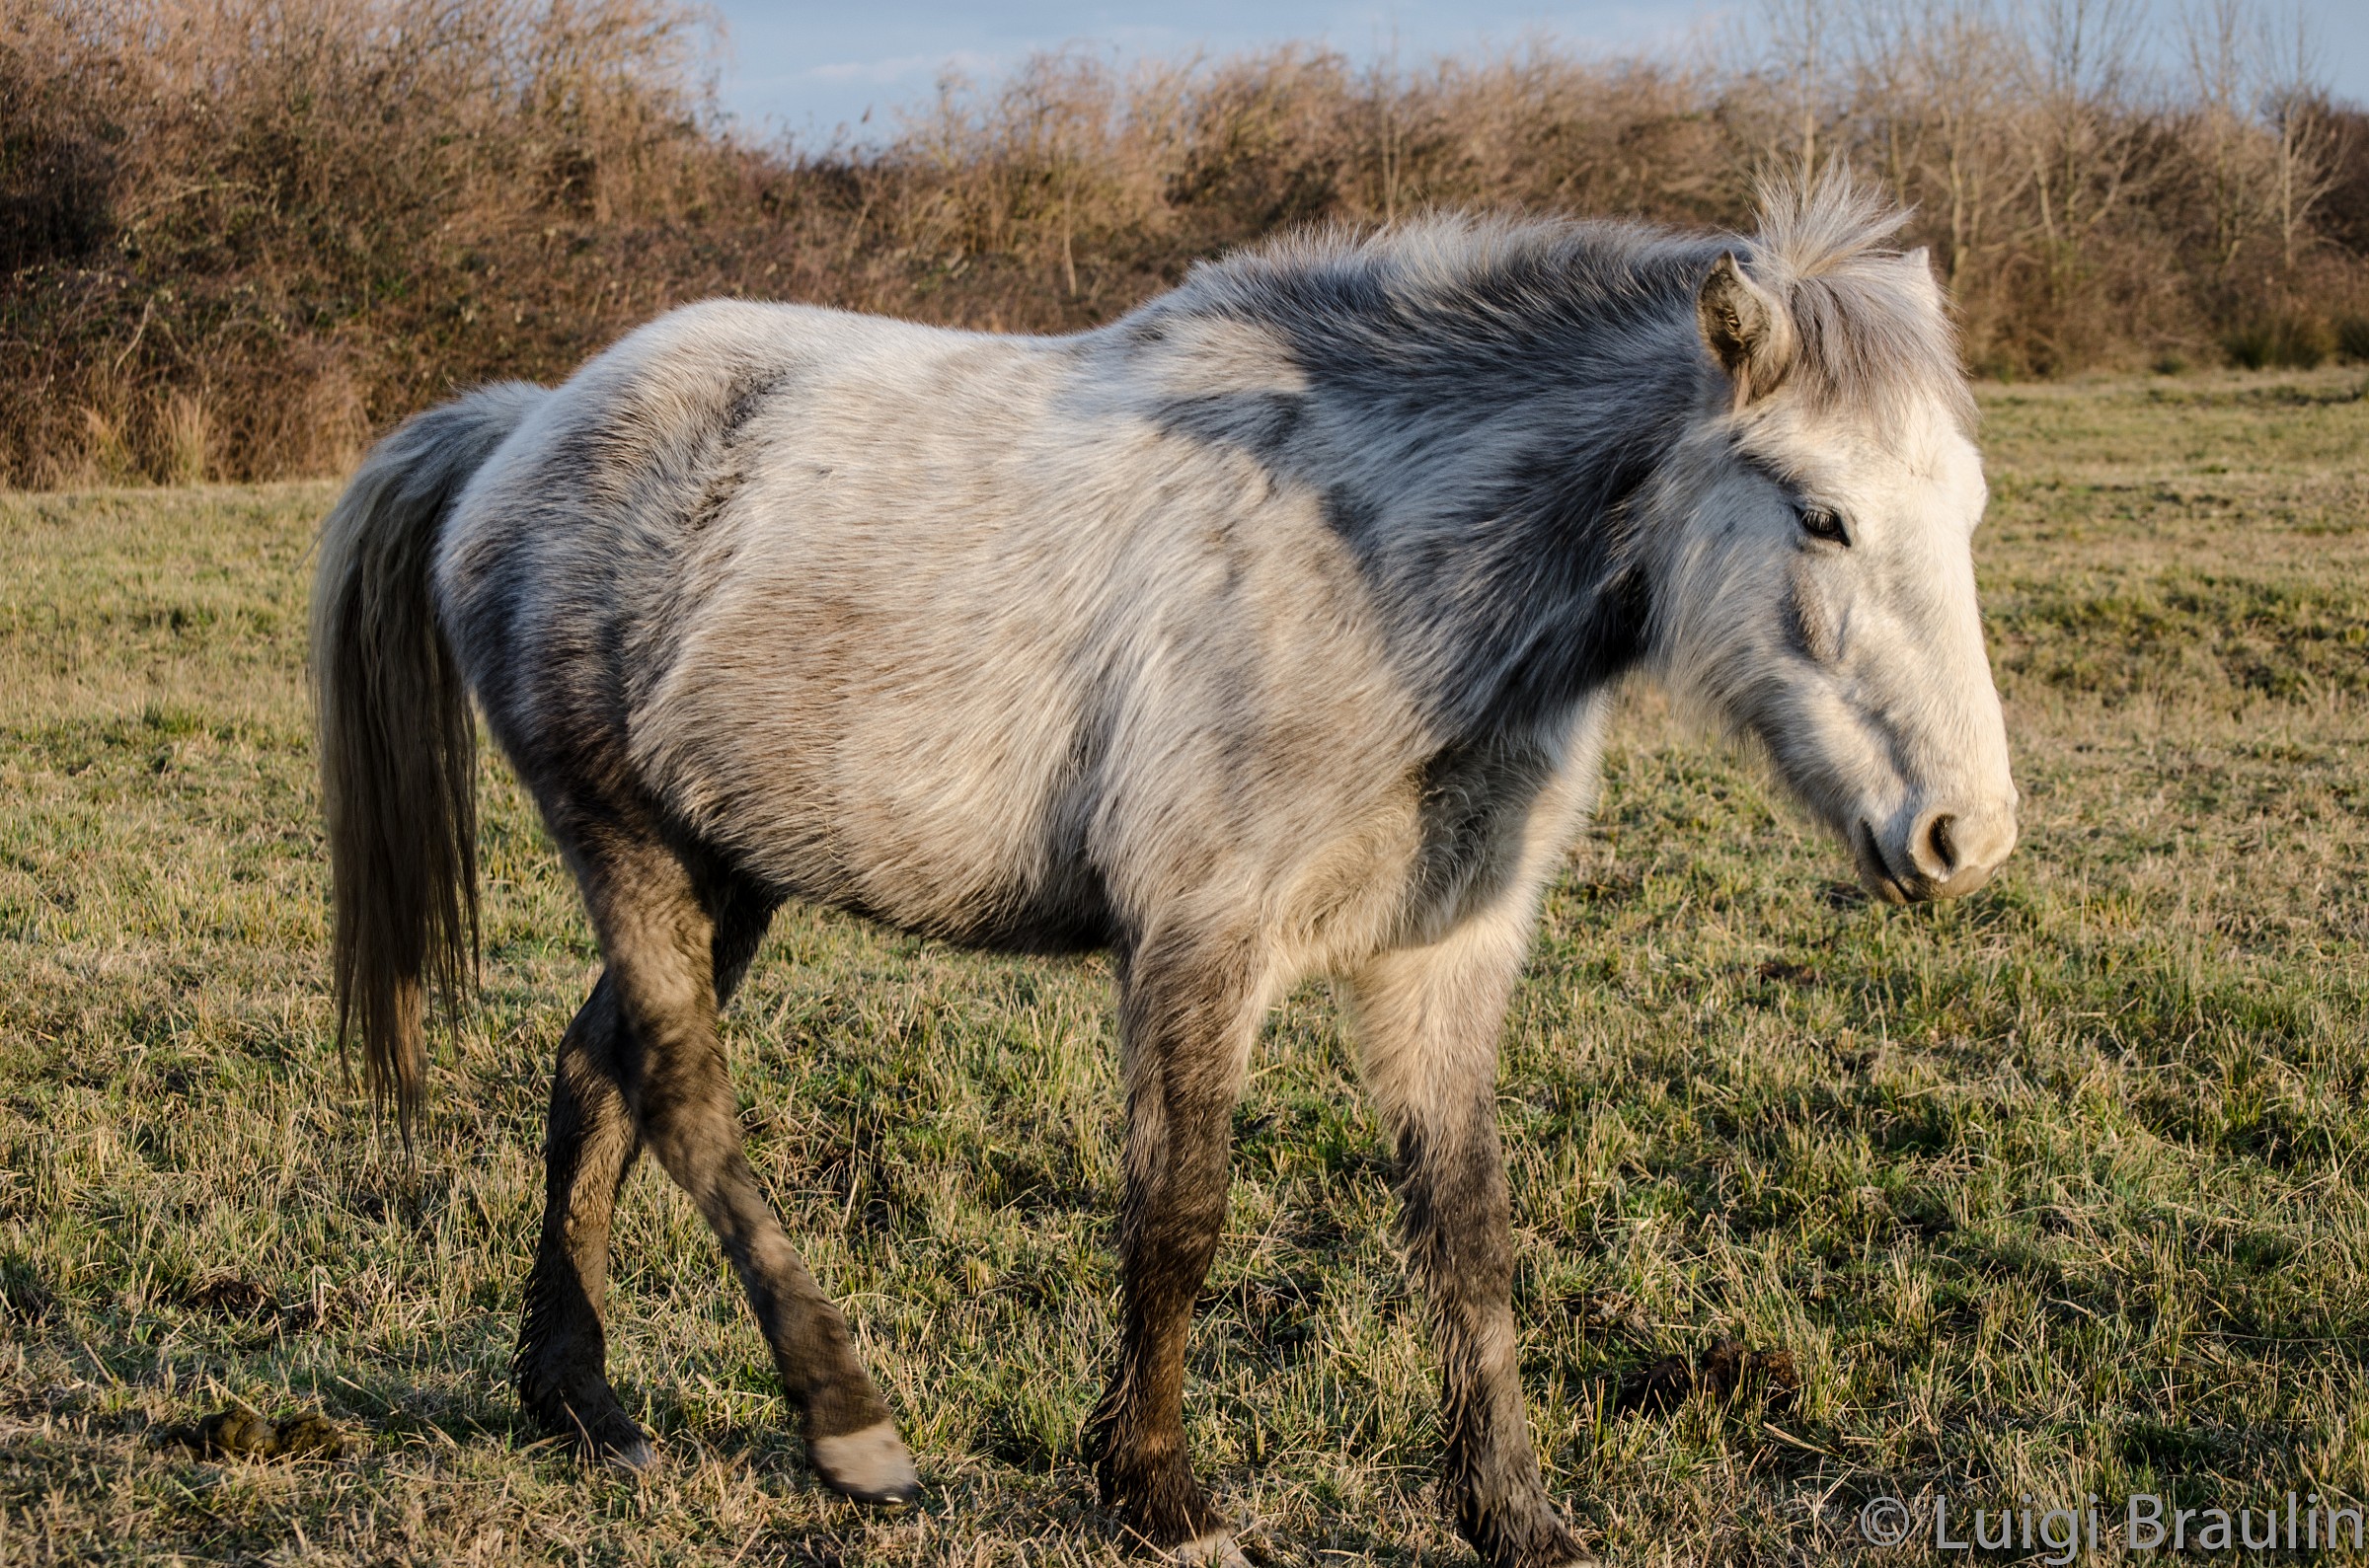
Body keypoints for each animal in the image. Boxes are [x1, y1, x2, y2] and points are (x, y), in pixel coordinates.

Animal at [310, 174, 2016, 1568]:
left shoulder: (1440, 960)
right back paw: (847, 1422)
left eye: (1972, 509)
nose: (1966, 835)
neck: (1370, 562)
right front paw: (1157, 1495)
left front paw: (1515, 1515)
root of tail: (527, 423)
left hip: (728, 870)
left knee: (591, 1075)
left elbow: (1467, 1229)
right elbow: (1178, 1213)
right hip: (632, 847)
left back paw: (578, 1399)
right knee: (679, 1087)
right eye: (1821, 514)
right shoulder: (1200, 942)